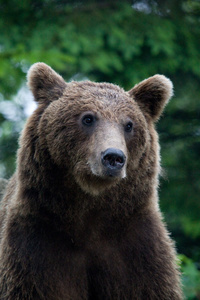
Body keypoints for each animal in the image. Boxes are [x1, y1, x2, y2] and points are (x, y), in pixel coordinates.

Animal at [0, 62, 182, 298]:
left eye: (129, 124)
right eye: (88, 118)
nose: (113, 157)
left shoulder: (136, 246)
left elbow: (147, 285)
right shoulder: (37, 244)